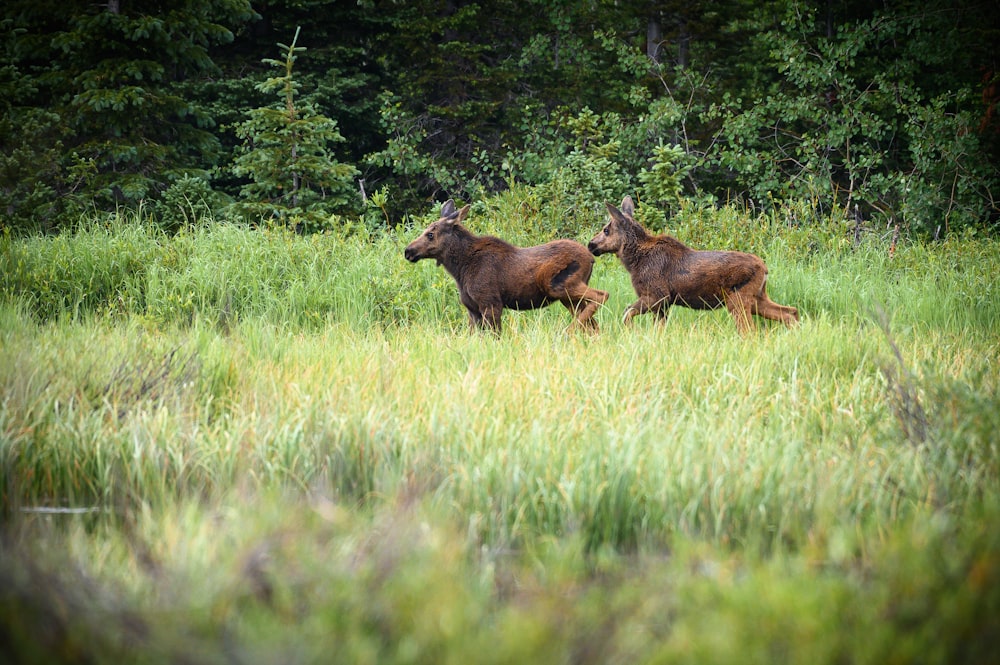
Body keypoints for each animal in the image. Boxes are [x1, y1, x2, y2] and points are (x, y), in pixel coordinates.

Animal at [406, 197, 608, 332]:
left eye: (430, 234)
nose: (408, 251)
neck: (459, 269)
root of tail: (591, 258)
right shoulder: (472, 309)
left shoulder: (491, 303)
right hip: (568, 298)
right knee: (593, 325)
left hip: (559, 286)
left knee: (601, 295)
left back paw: (568, 331)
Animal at [588, 196, 800, 332]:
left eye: (606, 230)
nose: (591, 245)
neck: (633, 262)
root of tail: (765, 269)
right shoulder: (663, 304)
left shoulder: (657, 296)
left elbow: (626, 314)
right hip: (757, 297)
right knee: (790, 312)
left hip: (738, 300)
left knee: (751, 331)